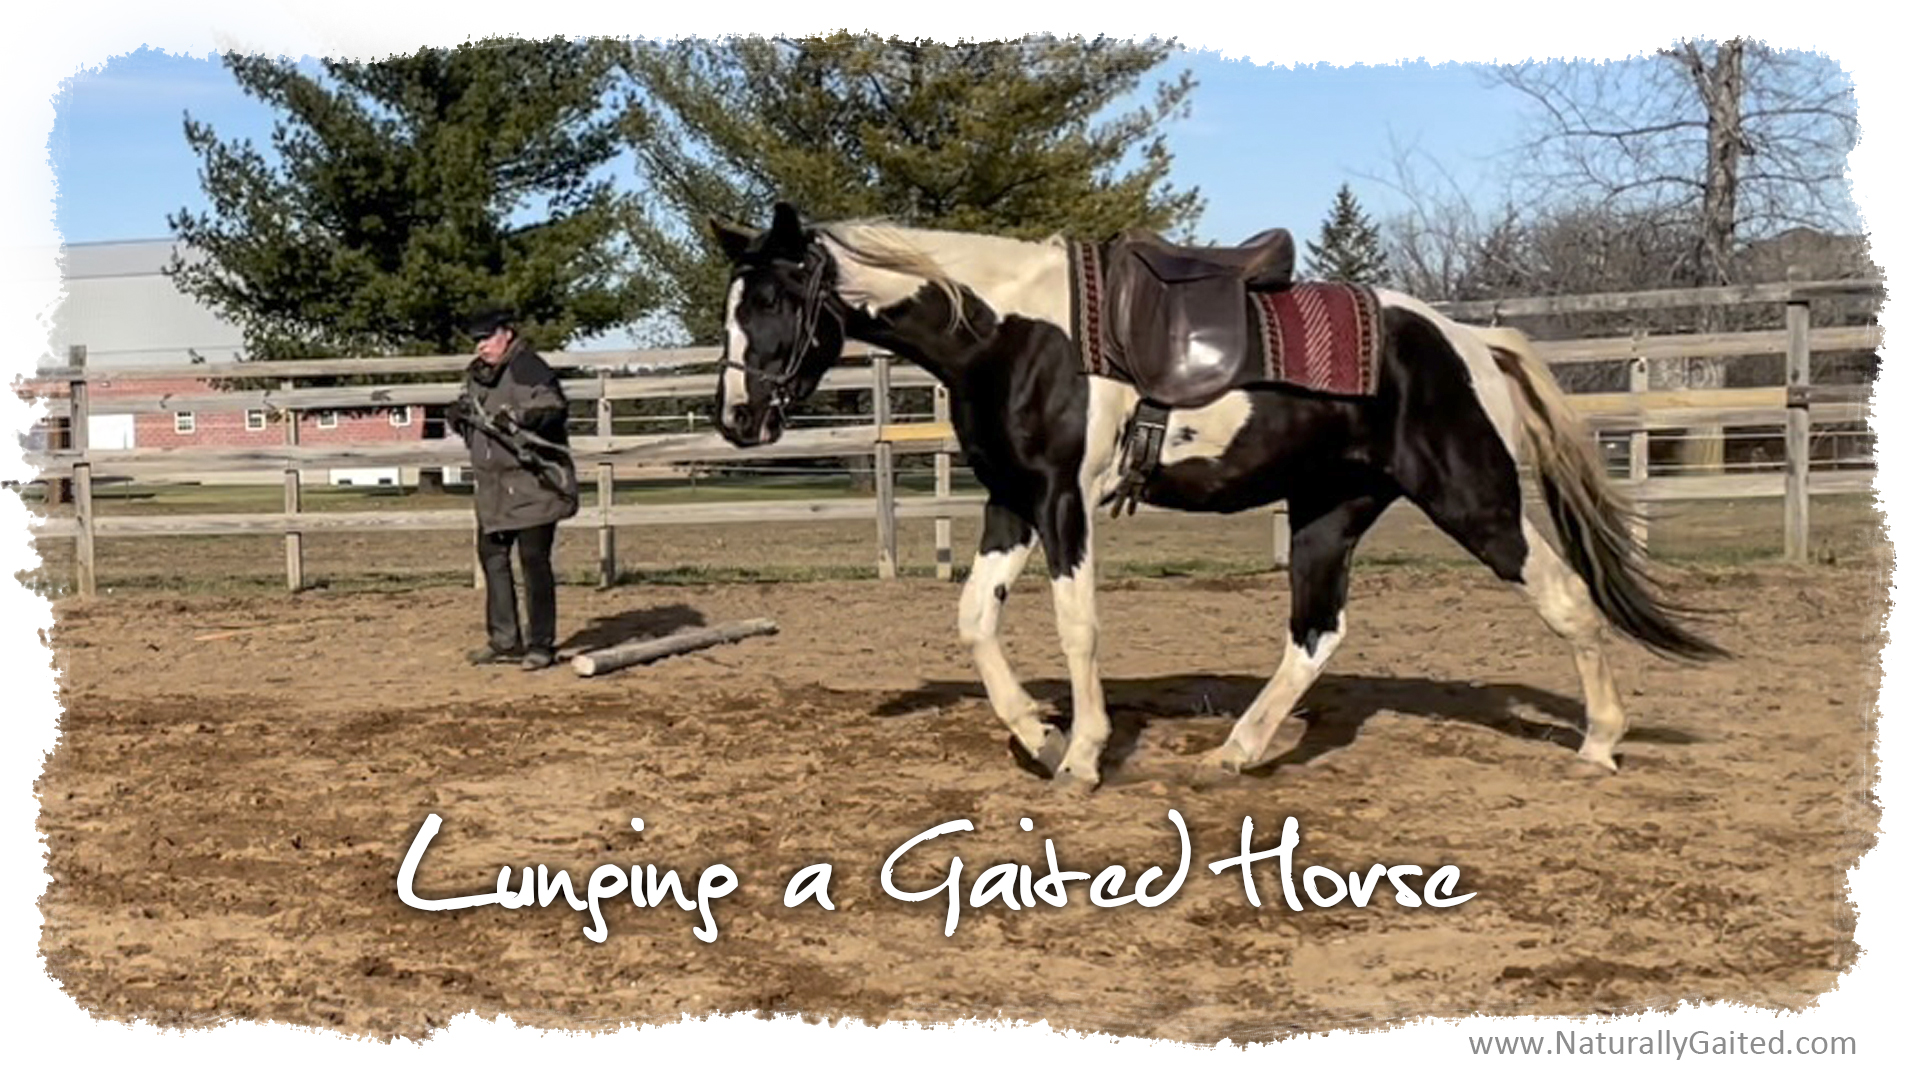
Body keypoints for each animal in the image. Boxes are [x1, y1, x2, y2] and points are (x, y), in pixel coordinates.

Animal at [709, 202, 1726, 792]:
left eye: (771, 302)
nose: (736, 418)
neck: (1009, 331)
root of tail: (1470, 342)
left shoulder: (1062, 503)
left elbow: (1076, 627)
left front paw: (1082, 756)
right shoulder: (1011, 501)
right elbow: (974, 619)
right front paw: (1038, 735)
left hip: (1475, 500)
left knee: (1567, 599)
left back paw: (1600, 744)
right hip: (1329, 513)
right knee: (1316, 635)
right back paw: (1234, 752)